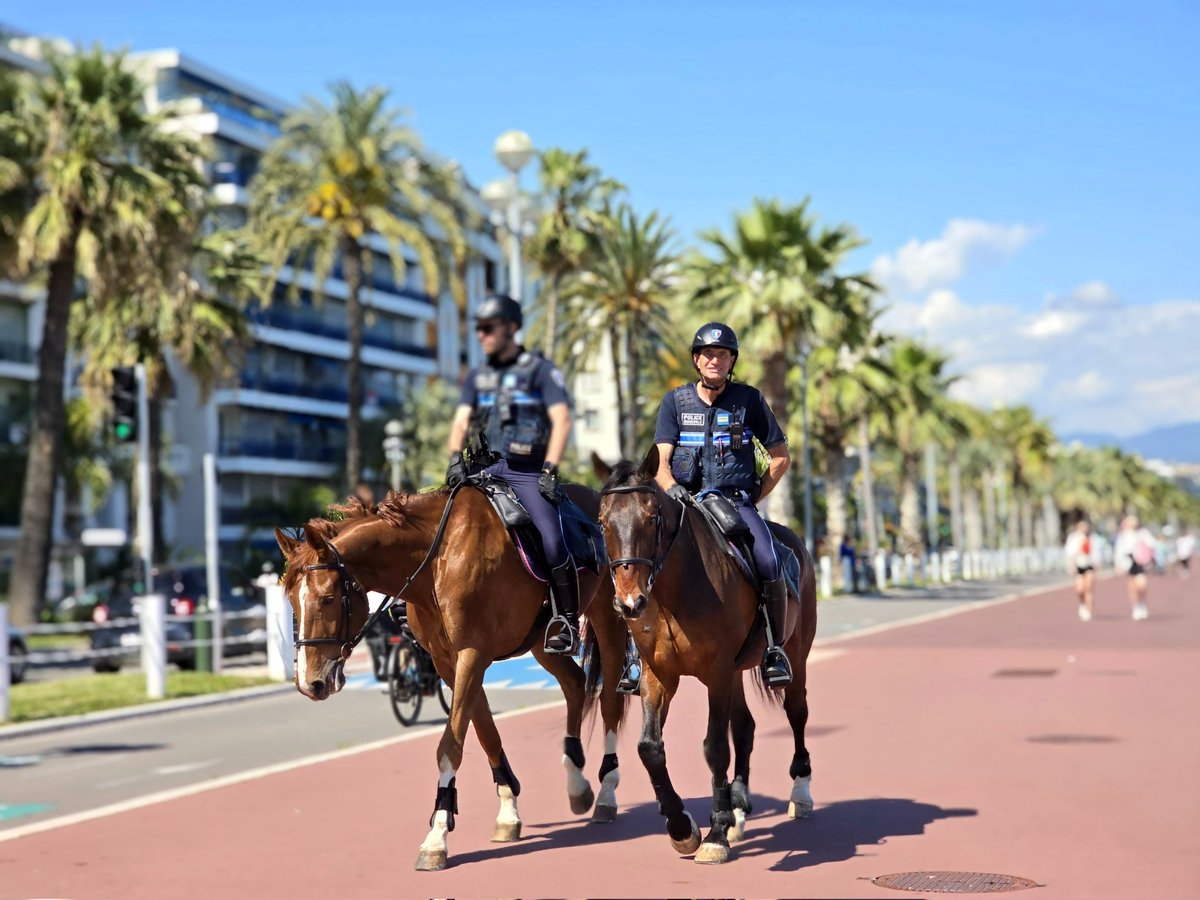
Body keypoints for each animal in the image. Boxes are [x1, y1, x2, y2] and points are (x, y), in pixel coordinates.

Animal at [271, 487, 628, 873]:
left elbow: (450, 746)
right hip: (540, 642)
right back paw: (577, 783)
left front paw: (437, 835)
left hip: (608, 620)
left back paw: (607, 792)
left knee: (609, 699)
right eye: (293, 603)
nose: (310, 683)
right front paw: (508, 812)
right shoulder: (449, 662)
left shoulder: (472, 654)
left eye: (328, 599)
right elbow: (486, 733)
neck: (434, 561)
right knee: (575, 683)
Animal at [595, 451, 820, 868]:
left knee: (796, 713)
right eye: (602, 522)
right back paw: (739, 806)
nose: (629, 602)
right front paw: (682, 827)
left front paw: (714, 833)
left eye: (651, 518)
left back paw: (800, 792)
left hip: (795, 655)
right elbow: (649, 747)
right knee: (745, 727)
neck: (673, 590)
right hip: (735, 672)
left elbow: (715, 747)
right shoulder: (659, 675)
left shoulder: (716, 673)